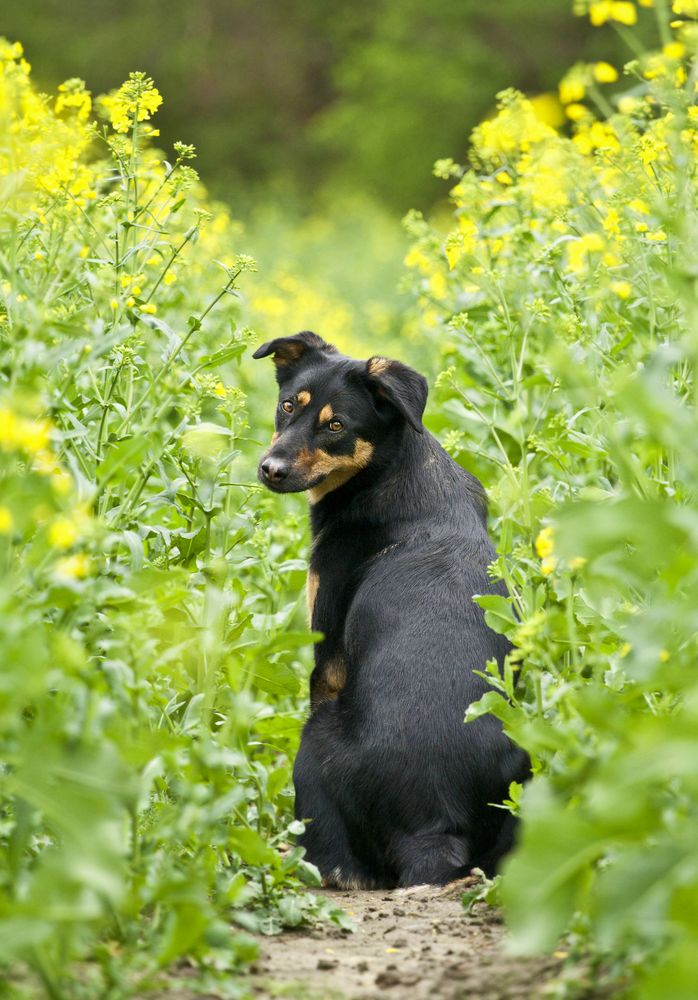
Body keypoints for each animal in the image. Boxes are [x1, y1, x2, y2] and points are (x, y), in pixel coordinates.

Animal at [251, 332, 528, 888]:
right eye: (288, 405)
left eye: (336, 426)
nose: (270, 470)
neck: (385, 470)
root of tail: (434, 828)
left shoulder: (328, 657)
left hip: (316, 738)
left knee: (339, 862)